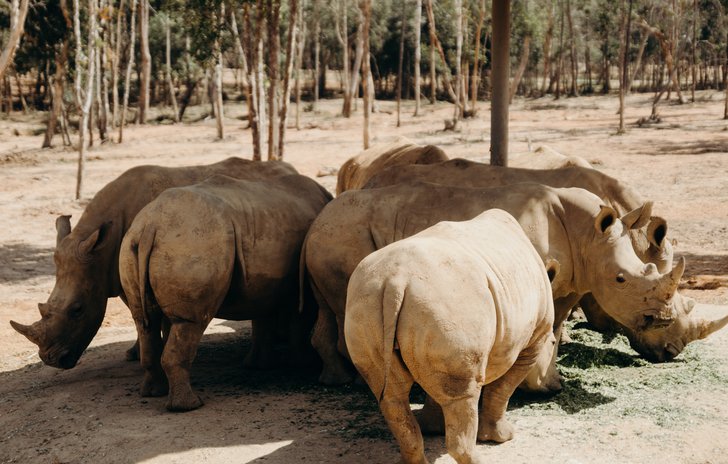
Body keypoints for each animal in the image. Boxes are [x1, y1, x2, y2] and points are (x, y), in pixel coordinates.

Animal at [119, 174, 331, 411]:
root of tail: (151, 226)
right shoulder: (302, 286)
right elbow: (300, 320)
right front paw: (305, 362)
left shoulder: (263, 282)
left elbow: (263, 318)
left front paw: (259, 366)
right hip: (194, 242)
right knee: (190, 322)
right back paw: (190, 406)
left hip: (133, 244)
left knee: (144, 321)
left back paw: (153, 393)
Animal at [303, 182, 684, 386]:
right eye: (621, 279)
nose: (663, 321)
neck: (588, 238)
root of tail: (316, 219)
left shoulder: (570, 280)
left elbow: (555, 326)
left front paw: (549, 376)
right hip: (344, 236)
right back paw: (357, 382)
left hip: (331, 237)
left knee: (327, 308)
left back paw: (335, 381)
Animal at [345, 209, 556, 464]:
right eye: (554, 343)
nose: (558, 386)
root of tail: (395, 281)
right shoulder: (532, 342)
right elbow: (503, 389)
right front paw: (501, 437)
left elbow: (437, 391)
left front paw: (434, 428)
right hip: (446, 304)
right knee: (463, 396)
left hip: (369, 300)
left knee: (391, 396)